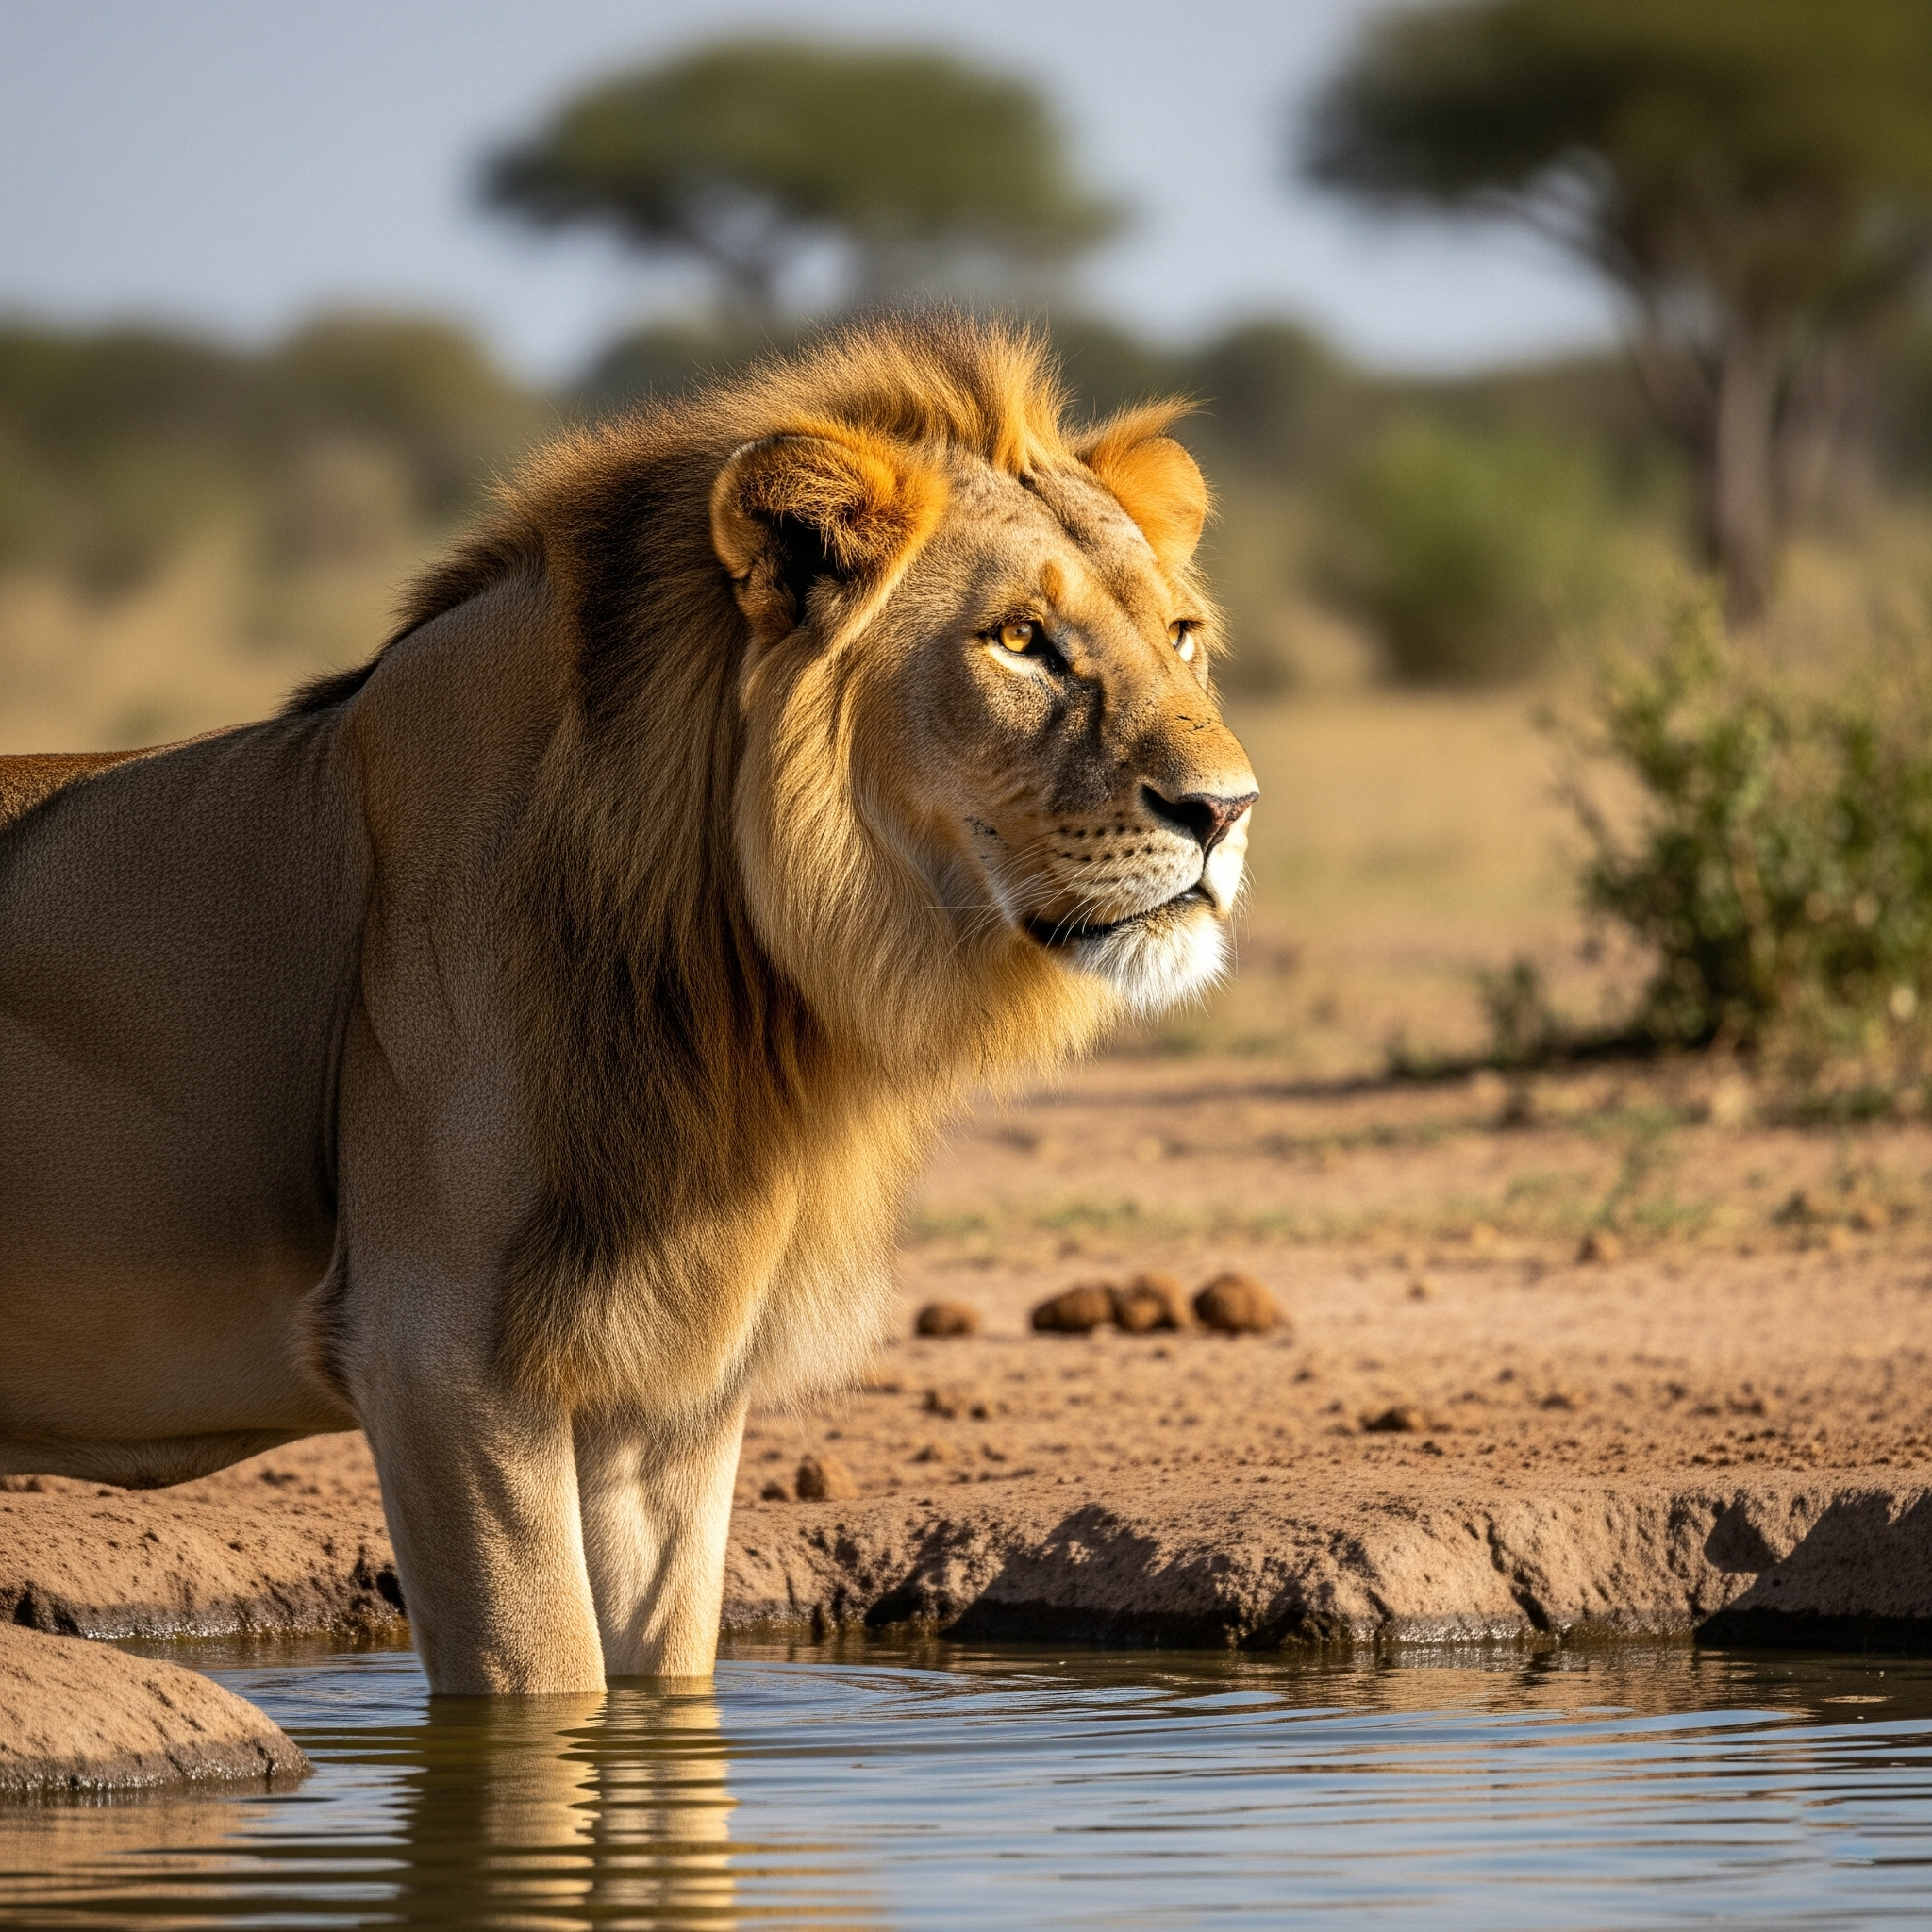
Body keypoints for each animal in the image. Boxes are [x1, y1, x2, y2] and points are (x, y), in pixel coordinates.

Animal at [0, 317, 1256, 1692]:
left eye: (1181, 635)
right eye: (1020, 639)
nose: (1226, 809)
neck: (736, 985)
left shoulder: (664, 1382)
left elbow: (661, 1675)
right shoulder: (438, 1353)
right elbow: (544, 1683)